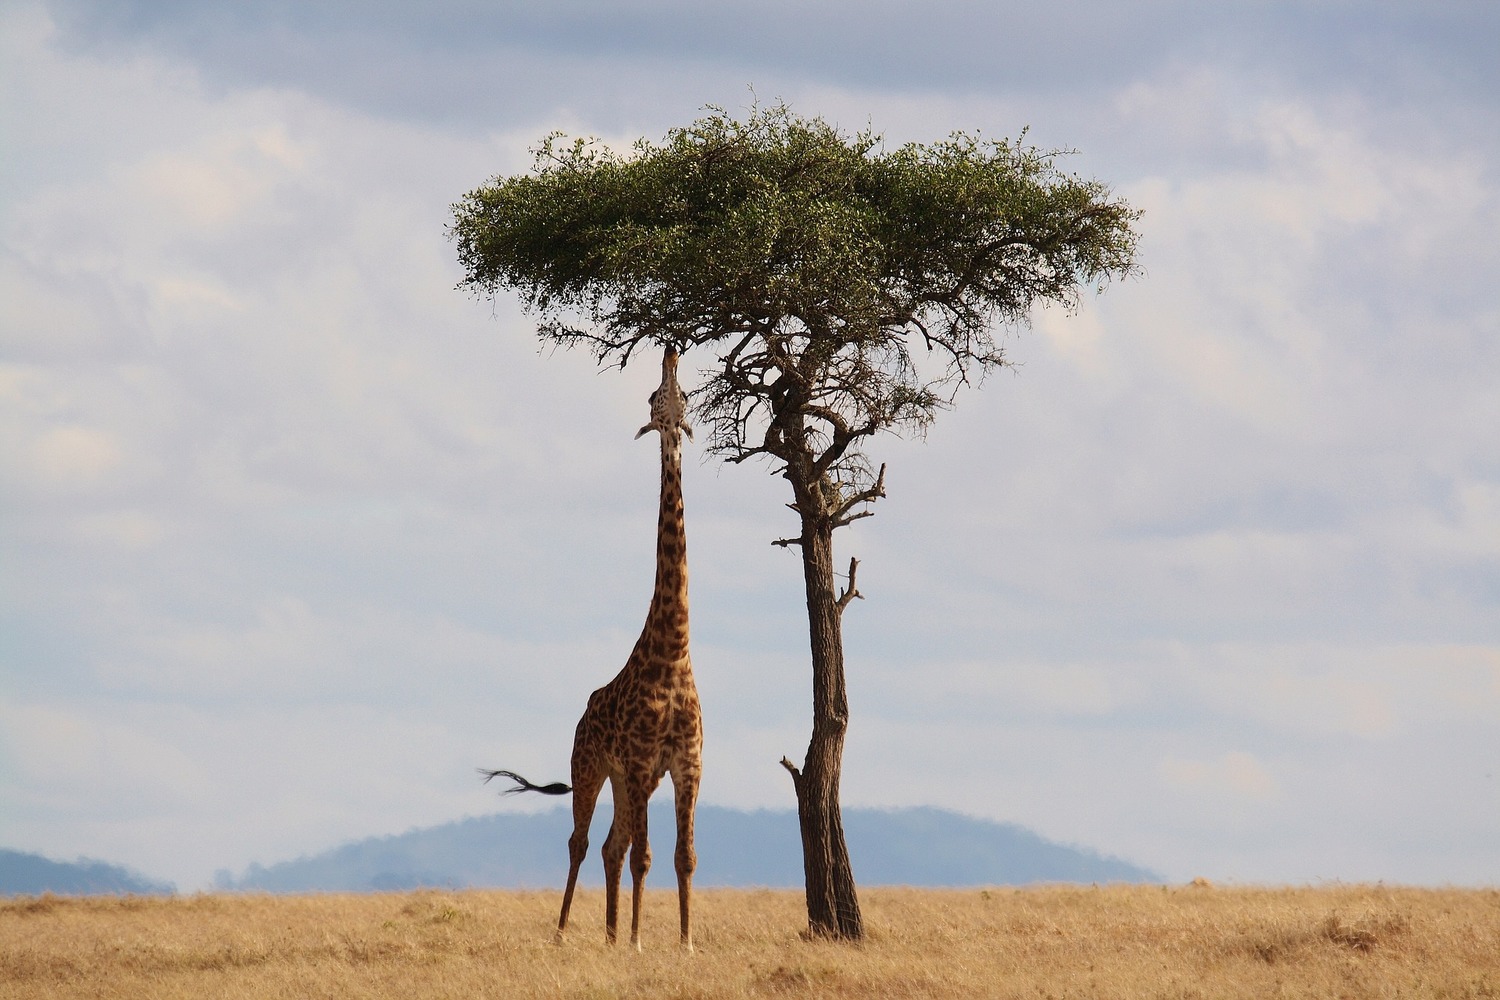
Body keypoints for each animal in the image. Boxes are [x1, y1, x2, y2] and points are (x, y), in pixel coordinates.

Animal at [486, 350, 708, 953]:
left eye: (684, 396)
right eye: (655, 396)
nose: (671, 353)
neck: (672, 652)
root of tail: (582, 714)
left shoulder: (684, 764)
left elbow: (683, 857)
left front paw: (683, 944)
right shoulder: (639, 760)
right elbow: (646, 857)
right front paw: (638, 943)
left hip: (630, 781)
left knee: (612, 845)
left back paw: (609, 936)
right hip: (589, 766)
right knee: (582, 842)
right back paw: (567, 932)